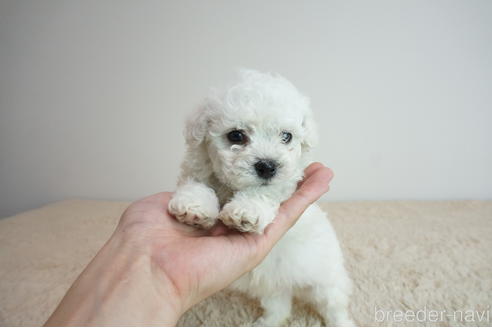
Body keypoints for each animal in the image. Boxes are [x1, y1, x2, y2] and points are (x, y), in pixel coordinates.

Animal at [169, 69, 354, 326]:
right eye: (236, 136)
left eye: (286, 136)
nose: (267, 166)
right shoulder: (197, 168)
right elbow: (197, 184)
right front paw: (193, 206)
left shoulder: (284, 184)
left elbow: (263, 192)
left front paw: (244, 212)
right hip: (272, 287)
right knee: (279, 308)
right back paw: (266, 322)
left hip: (324, 280)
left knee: (333, 305)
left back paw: (341, 322)